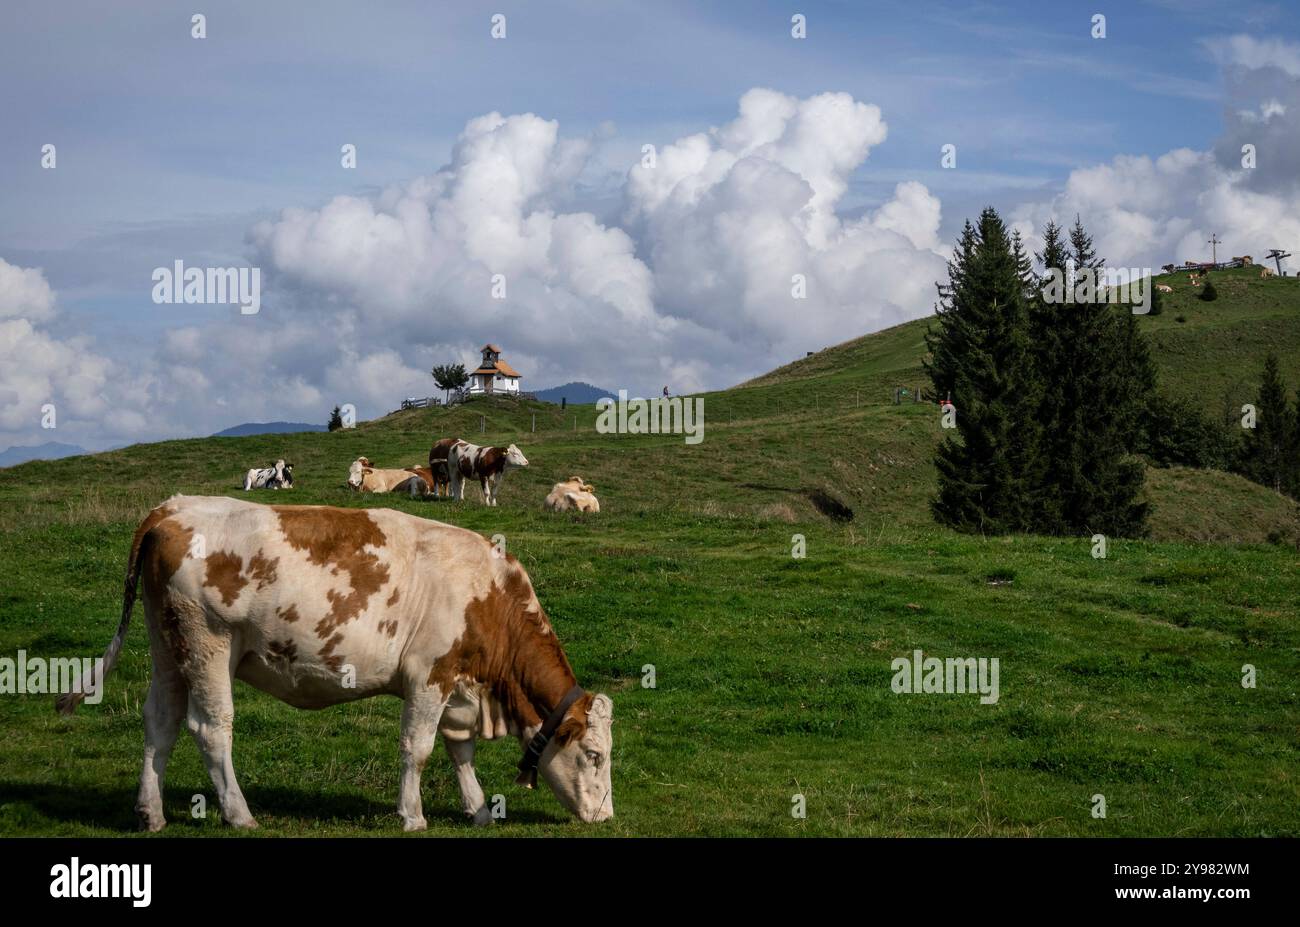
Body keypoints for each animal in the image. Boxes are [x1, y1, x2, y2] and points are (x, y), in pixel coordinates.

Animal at [63, 499, 621, 832]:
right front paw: (413, 815)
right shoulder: (429, 675)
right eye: (594, 755)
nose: (606, 815)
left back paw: (150, 811)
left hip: (168, 649)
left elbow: (459, 750)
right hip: (209, 645)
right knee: (211, 728)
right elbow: (418, 748)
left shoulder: (459, 685)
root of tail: (173, 507)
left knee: (160, 723)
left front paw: (479, 809)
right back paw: (239, 814)